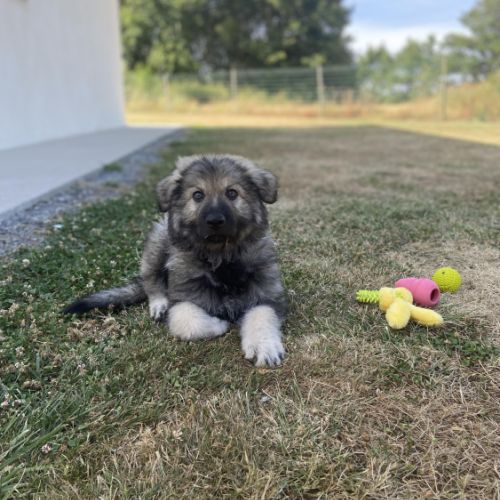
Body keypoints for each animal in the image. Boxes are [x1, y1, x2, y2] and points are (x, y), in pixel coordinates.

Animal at [64, 154, 286, 367]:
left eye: (232, 193)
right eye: (198, 195)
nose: (215, 220)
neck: (220, 257)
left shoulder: (265, 295)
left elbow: (262, 316)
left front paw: (264, 347)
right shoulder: (183, 297)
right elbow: (188, 321)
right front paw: (219, 323)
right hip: (158, 242)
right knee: (151, 281)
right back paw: (159, 304)